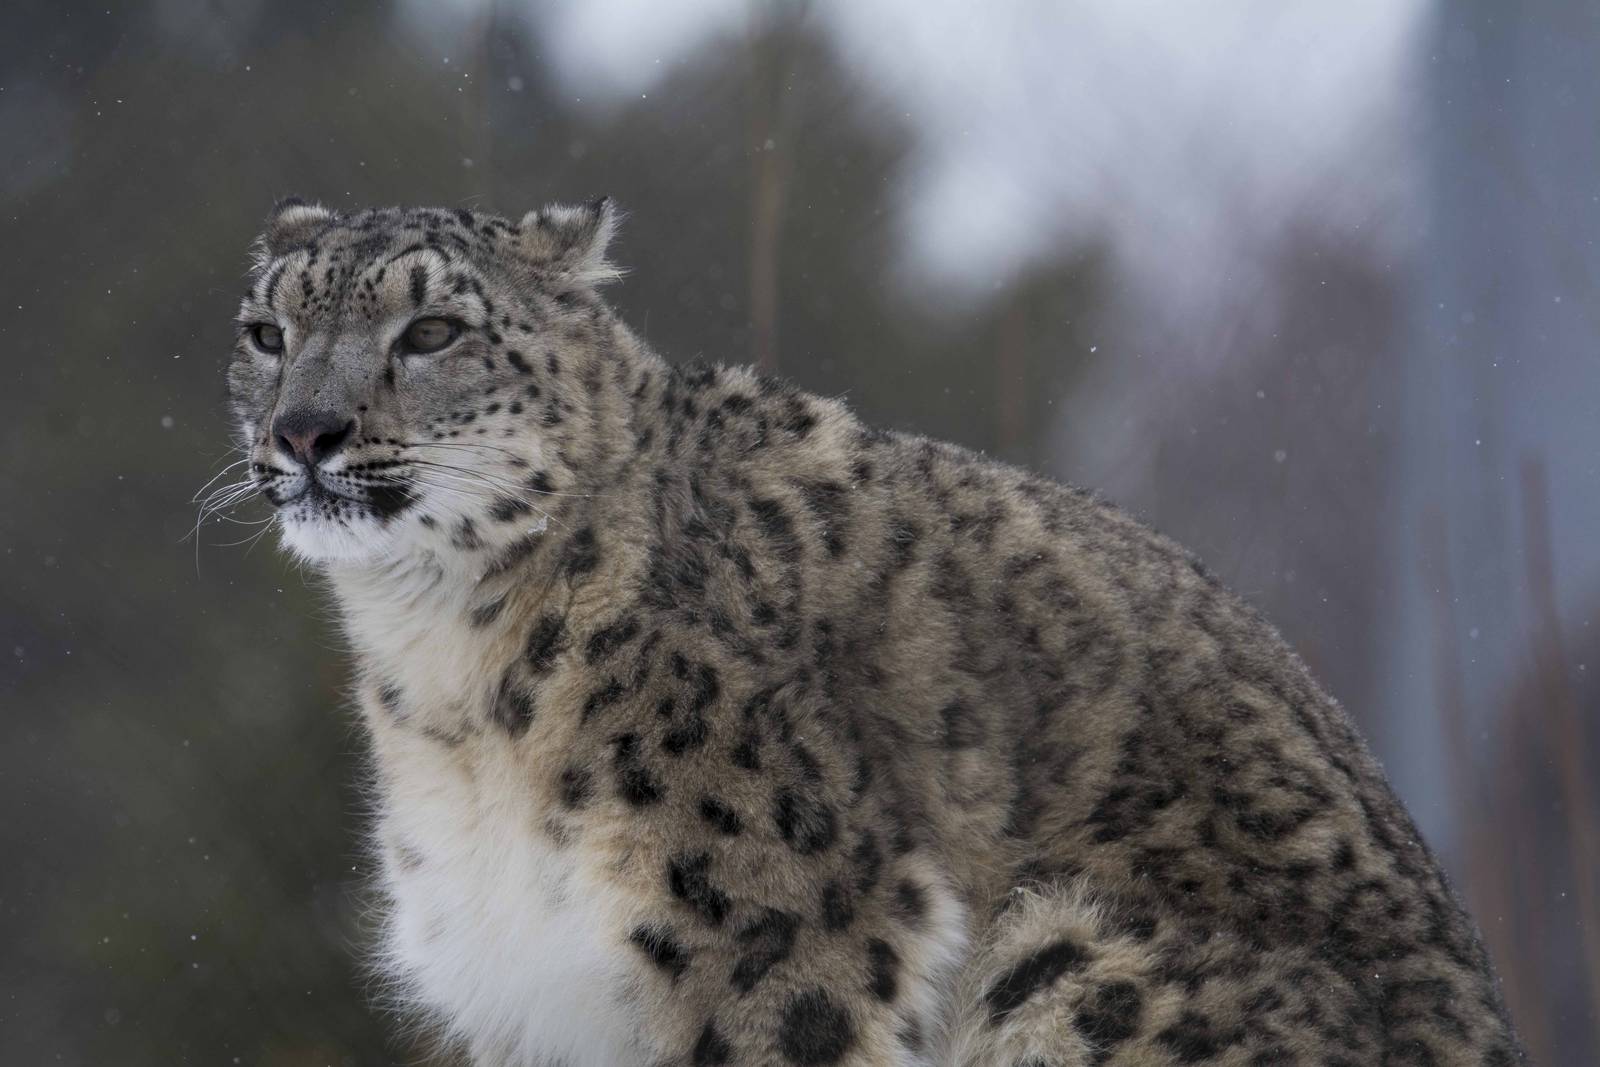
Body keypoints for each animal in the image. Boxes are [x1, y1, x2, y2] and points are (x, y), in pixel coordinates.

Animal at [225, 196, 1526, 1067]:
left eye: (432, 331)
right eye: (265, 331)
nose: (306, 430)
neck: (443, 666)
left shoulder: (770, 919)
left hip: (1063, 959)